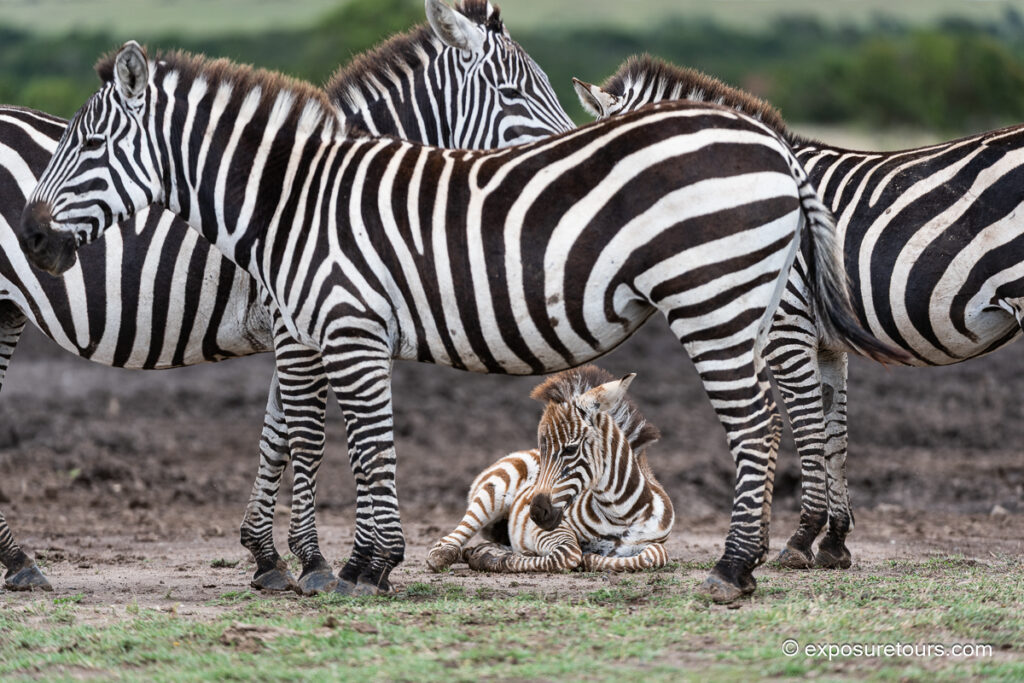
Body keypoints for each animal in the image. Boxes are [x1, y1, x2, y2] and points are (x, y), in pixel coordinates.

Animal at [0, 0, 572, 593]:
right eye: (513, 92)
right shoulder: (298, 325)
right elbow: (308, 434)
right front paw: (316, 561)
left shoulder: (310, 325)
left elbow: (278, 432)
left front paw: (269, 556)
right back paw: (20, 562)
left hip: (6, 312)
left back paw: (18, 562)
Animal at [427, 365, 672, 573]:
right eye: (544, 450)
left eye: (570, 449)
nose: (535, 512)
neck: (620, 516)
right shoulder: (546, 529)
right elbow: (569, 554)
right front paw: (489, 559)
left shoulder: (652, 542)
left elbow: (655, 555)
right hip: (493, 491)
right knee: (448, 544)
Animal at [571, 54, 1024, 570]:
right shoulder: (829, 343)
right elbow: (834, 438)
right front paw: (834, 541)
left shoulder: (785, 328)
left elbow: (807, 431)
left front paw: (801, 537)